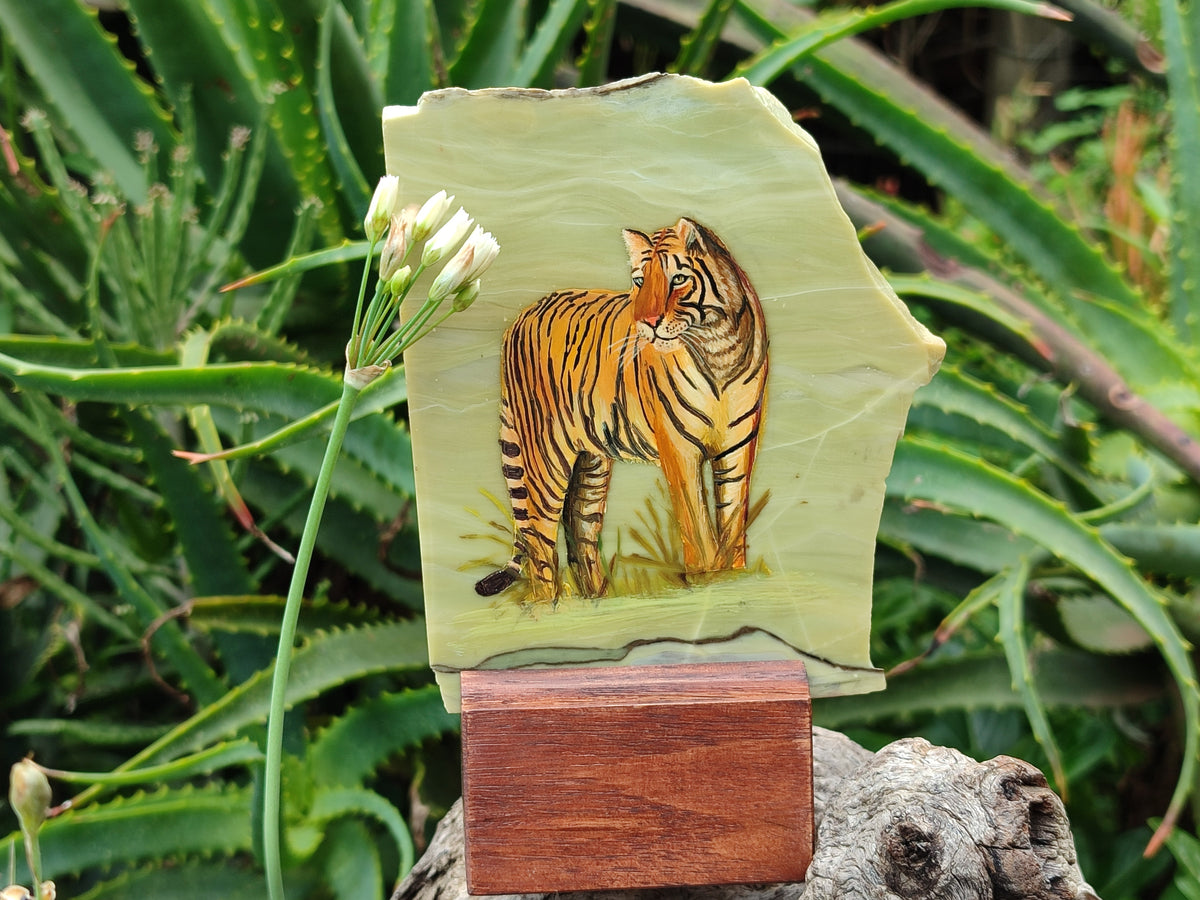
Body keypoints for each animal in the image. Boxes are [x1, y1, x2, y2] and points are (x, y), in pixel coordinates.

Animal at [475, 217, 769, 603]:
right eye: (640, 281)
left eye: (678, 279)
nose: (646, 322)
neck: (719, 347)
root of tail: (518, 319)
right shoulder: (680, 451)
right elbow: (699, 531)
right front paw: (707, 583)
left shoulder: (739, 445)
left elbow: (732, 524)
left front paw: (731, 580)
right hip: (545, 455)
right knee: (539, 535)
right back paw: (548, 606)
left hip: (591, 460)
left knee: (579, 528)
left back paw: (595, 600)